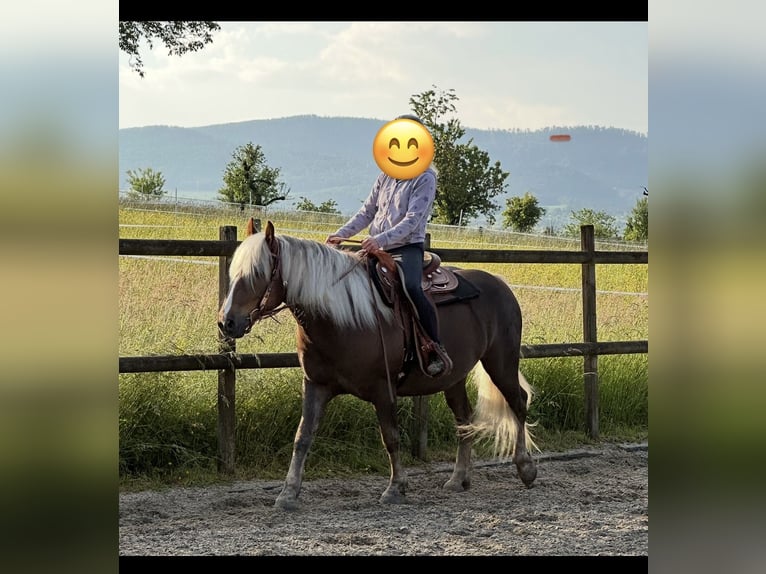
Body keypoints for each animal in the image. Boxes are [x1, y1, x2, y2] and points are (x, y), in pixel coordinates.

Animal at [218, 220, 538, 510]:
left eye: (257, 273)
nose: (226, 322)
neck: (341, 318)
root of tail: (499, 283)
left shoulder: (383, 389)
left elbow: (390, 438)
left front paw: (396, 488)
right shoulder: (316, 385)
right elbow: (303, 437)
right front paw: (288, 493)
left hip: (501, 360)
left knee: (518, 402)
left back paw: (526, 469)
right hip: (454, 377)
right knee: (464, 418)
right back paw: (458, 478)